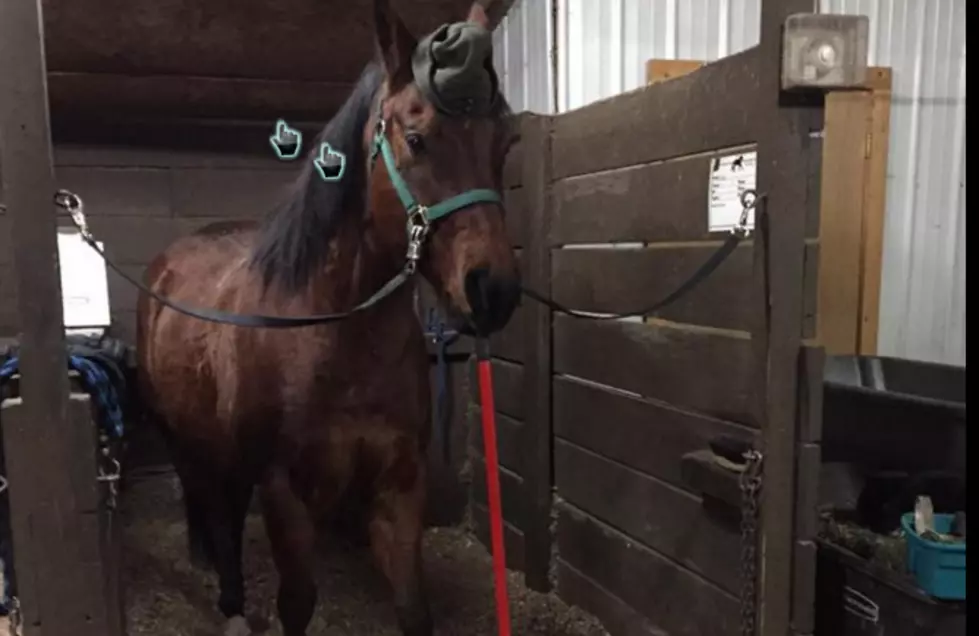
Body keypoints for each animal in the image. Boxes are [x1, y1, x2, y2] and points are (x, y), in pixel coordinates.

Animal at [135, 2, 524, 632]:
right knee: (212, 511)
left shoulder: (399, 484)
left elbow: (413, 606)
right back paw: (228, 599)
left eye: (504, 142)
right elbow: (297, 602)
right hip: (187, 440)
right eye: (416, 138)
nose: (493, 290)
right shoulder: (282, 489)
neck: (332, 331)